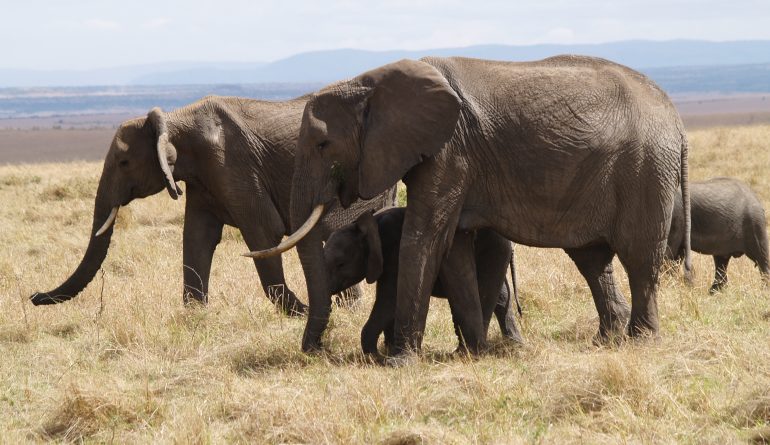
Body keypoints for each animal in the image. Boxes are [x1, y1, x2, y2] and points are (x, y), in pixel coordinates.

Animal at [28, 96, 396, 314]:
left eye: (123, 162)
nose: (33, 296)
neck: (174, 120)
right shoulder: (203, 178)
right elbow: (196, 238)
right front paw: (195, 317)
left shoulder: (232, 166)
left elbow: (263, 235)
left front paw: (299, 312)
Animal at [320, 206, 520, 356]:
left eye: (340, 264)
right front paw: (389, 349)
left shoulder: (395, 254)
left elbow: (389, 299)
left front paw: (376, 356)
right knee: (501, 298)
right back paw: (515, 344)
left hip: (493, 253)